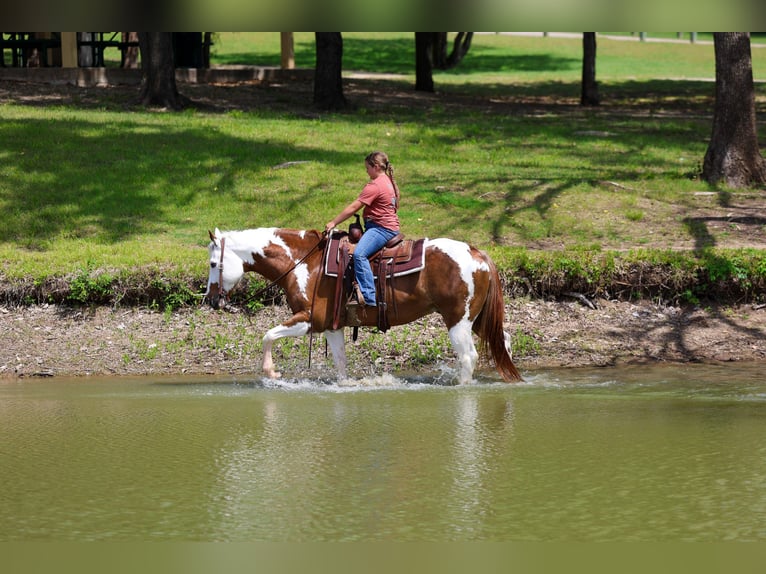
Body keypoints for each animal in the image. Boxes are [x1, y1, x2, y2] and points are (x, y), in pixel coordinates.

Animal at [204, 227, 523, 384]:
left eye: (212, 264)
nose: (211, 300)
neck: (303, 262)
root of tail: (477, 252)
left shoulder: (309, 319)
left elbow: (267, 335)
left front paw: (271, 372)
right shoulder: (332, 326)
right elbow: (341, 362)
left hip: (457, 320)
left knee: (468, 356)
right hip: (476, 320)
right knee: (503, 341)